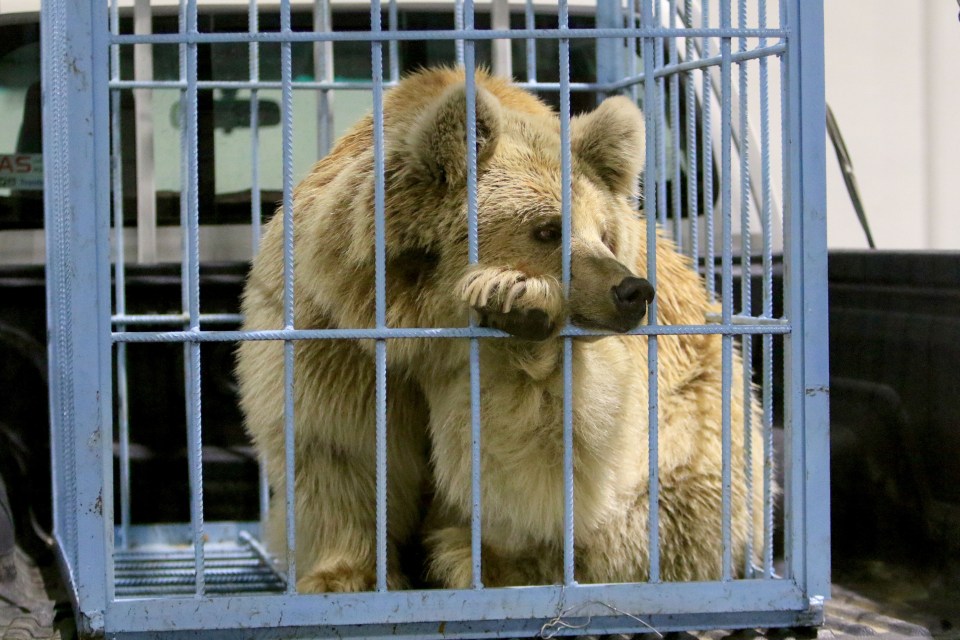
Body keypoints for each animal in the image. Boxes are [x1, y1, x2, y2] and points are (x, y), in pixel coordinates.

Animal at [236, 67, 768, 592]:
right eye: (548, 229)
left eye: (604, 232)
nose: (632, 290)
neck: (419, 327)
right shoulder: (331, 334)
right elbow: (339, 449)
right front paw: (343, 575)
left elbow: (538, 456)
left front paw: (518, 303)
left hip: (699, 434)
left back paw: (470, 558)